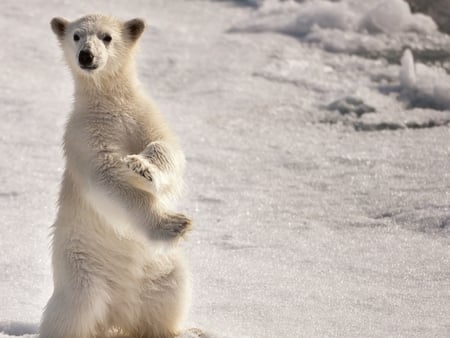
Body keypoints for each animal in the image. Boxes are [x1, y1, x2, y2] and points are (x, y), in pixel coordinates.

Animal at [42, 13, 195, 338]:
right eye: (76, 35)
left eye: (107, 36)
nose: (86, 56)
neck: (109, 103)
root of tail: (118, 314)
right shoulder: (85, 135)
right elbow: (108, 179)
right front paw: (174, 224)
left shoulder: (143, 115)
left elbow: (166, 148)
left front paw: (143, 167)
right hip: (81, 268)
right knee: (75, 312)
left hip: (160, 269)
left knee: (171, 292)